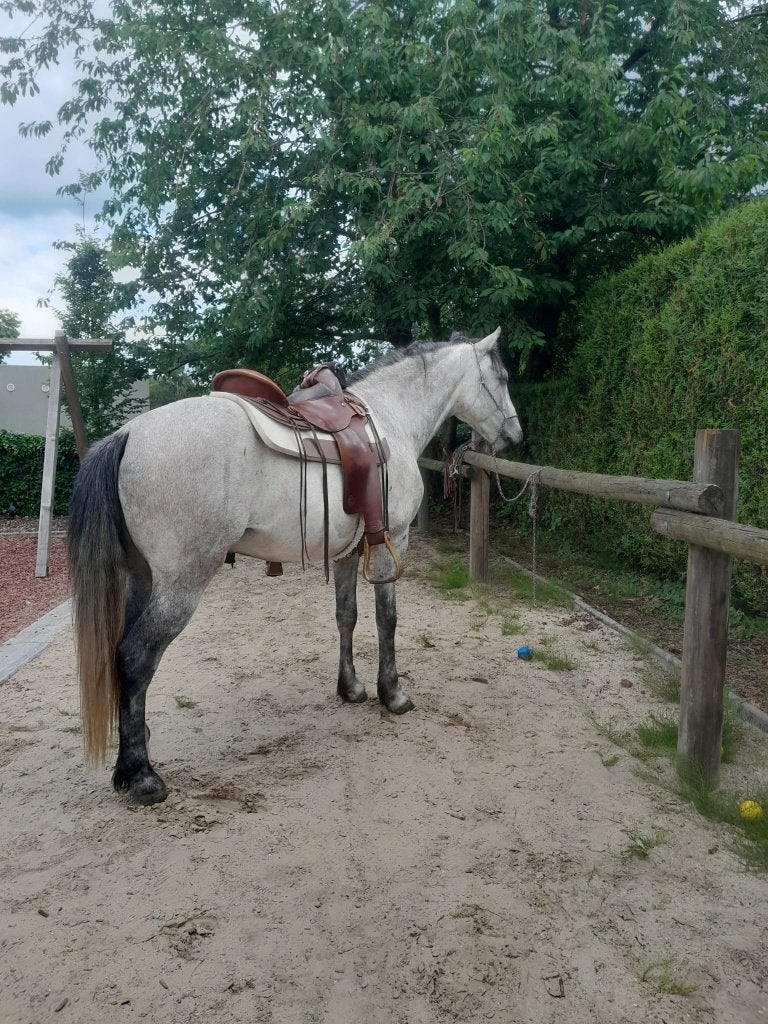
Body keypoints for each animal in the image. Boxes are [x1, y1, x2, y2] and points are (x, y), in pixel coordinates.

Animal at [68, 328, 522, 805]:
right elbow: (387, 620)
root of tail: (128, 434)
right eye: (503, 377)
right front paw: (393, 694)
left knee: (119, 657)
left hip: (141, 579)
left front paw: (351, 688)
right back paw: (142, 776)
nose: (515, 434)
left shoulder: (348, 554)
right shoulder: (391, 543)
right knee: (136, 658)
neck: (390, 417)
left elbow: (346, 616)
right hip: (180, 587)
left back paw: (126, 765)